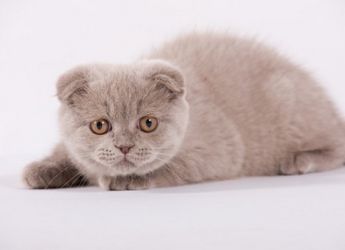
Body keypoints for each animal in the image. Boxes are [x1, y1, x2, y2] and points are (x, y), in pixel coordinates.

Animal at [22, 32, 344, 190]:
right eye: (100, 125)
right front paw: (43, 170)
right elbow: (68, 153)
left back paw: (298, 161)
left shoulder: (221, 152)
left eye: (148, 123)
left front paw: (127, 180)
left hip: (289, 101)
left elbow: (172, 166)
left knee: (337, 145)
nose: (124, 146)